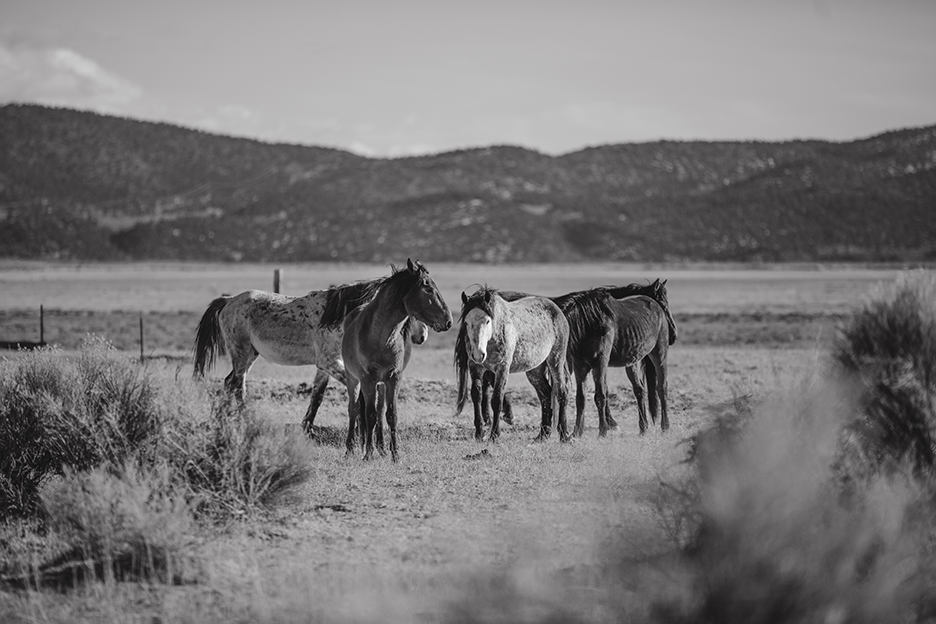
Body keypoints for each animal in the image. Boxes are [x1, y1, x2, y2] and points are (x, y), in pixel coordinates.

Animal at [191, 277, 428, 440]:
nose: (422, 336)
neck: (342, 316)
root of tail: (229, 300)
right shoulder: (329, 363)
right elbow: (358, 393)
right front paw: (361, 430)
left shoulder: (326, 367)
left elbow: (317, 397)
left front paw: (307, 429)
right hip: (242, 355)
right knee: (238, 387)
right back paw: (244, 422)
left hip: (249, 355)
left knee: (229, 383)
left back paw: (222, 422)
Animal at [335, 259, 452, 461]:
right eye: (428, 288)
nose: (449, 321)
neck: (382, 336)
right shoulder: (367, 379)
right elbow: (369, 415)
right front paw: (368, 454)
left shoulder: (394, 378)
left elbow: (391, 415)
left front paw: (395, 454)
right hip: (353, 379)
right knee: (354, 409)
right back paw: (351, 448)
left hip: (381, 385)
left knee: (379, 410)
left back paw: (381, 448)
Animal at [456, 286, 572, 443]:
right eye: (467, 322)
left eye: (487, 321)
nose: (479, 354)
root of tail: (556, 309)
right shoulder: (476, 367)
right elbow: (476, 396)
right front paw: (480, 433)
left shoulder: (502, 368)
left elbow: (497, 399)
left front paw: (494, 435)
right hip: (535, 370)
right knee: (545, 395)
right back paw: (542, 435)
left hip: (555, 360)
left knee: (561, 392)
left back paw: (564, 434)